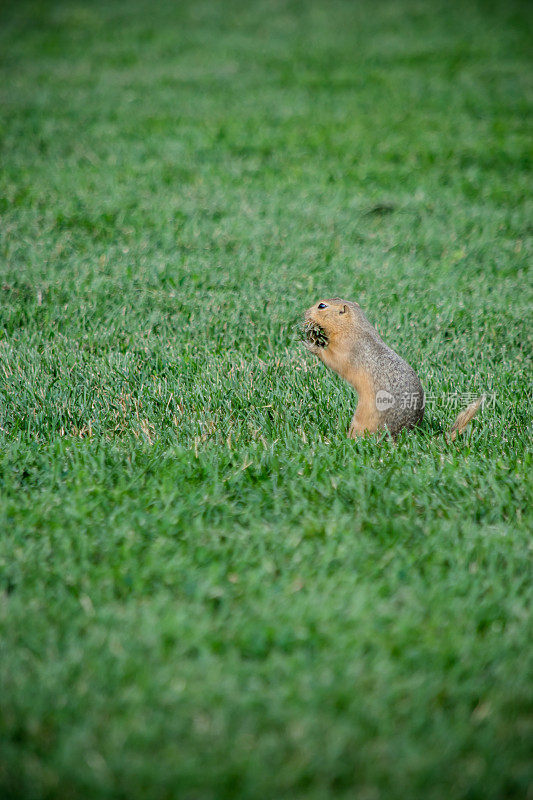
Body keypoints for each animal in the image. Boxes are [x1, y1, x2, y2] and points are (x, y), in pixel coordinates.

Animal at [304, 298, 482, 440]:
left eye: (321, 305)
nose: (305, 312)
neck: (354, 326)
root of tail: (407, 434)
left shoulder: (345, 347)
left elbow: (333, 359)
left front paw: (312, 344)